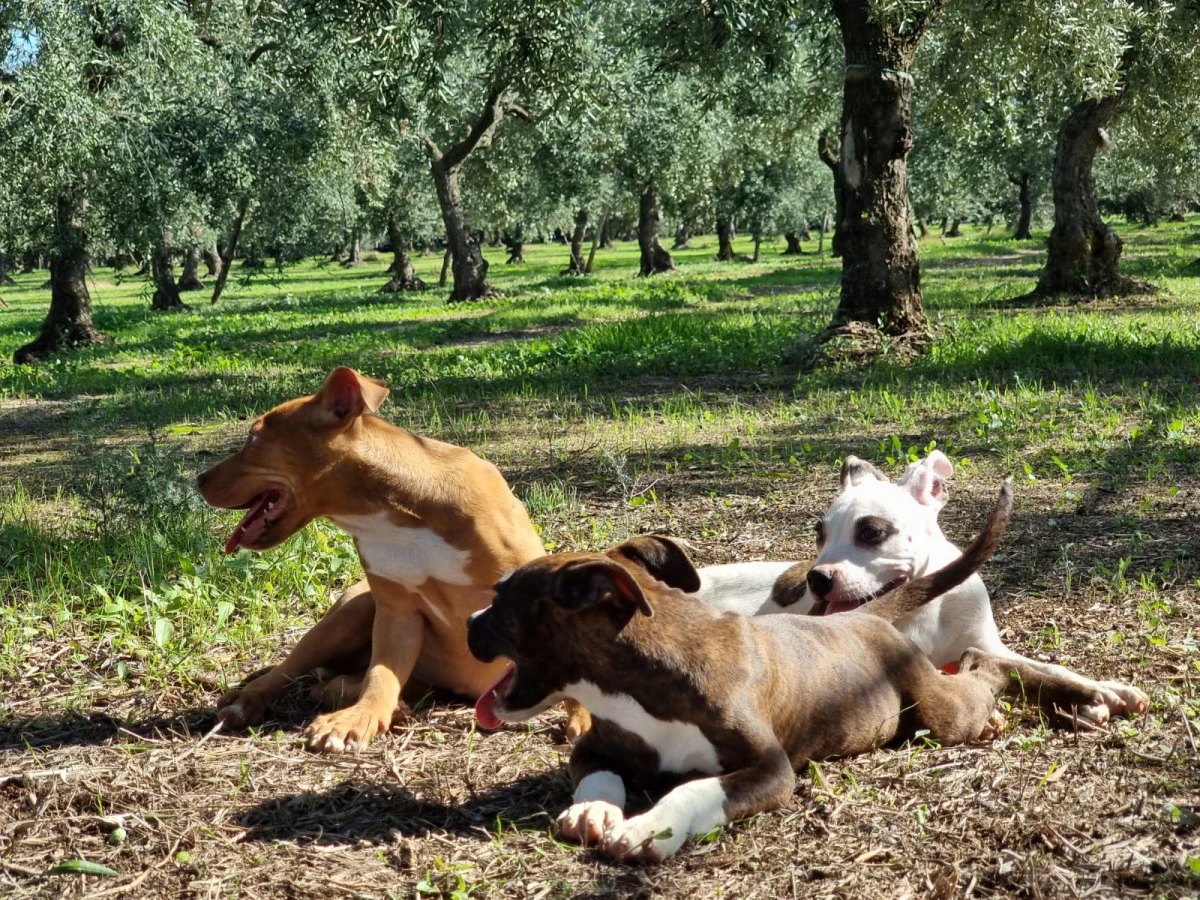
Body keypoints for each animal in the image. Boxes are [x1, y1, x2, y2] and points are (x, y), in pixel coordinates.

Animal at [198, 367, 590, 753]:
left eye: (253, 439)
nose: (199, 479)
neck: (393, 511)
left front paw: (584, 718)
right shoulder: (396, 613)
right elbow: (381, 674)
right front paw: (359, 719)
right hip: (351, 613)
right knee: (294, 670)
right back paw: (251, 702)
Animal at [463, 482, 1099, 864]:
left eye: (499, 602)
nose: (469, 621)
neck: (640, 689)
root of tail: (864, 615)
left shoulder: (769, 769)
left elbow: (695, 788)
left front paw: (648, 828)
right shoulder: (595, 747)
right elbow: (600, 776)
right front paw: (593, 810)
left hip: (940, 710)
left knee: (978, 664)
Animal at [700, 453, 1147, 729]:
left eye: (871, 532)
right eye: (819, 533)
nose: (817, 579)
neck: (925, 611)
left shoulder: (988, 643)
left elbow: (1049, 666)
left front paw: (1110, 690)